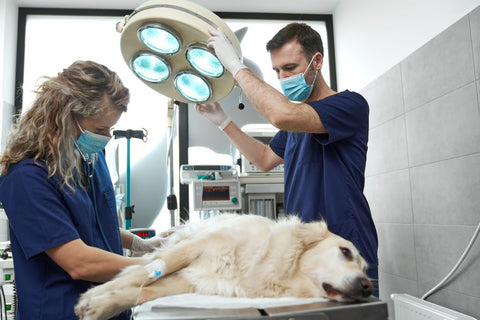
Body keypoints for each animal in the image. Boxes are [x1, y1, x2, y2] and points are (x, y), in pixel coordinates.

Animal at [75, 212, 376, 320]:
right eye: (345, 252)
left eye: (365, 270)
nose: (367, 287)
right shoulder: (193, 249)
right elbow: (138, 275)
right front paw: (92, 296)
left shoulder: (189, 280)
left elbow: (143, 291)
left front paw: (101, 305)